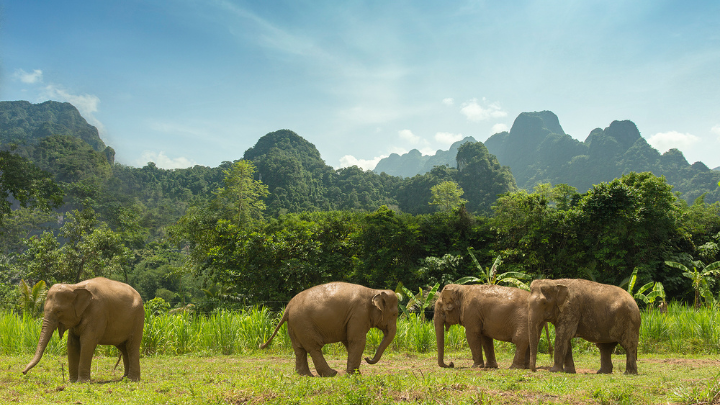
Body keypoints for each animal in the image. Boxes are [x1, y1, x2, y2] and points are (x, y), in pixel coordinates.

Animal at [258, 280, 400, 376]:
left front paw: (354, 373)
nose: (367, 358)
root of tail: (287, 308)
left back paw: (305, 375)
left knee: (299, 349)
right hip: (303, 323)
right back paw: (331, 374)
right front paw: (355, 375)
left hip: (293, 325)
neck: (374, 291)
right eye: (395, 314)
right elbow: (357, 340)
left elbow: (349, 341)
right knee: (314, 347)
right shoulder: (359, 313)